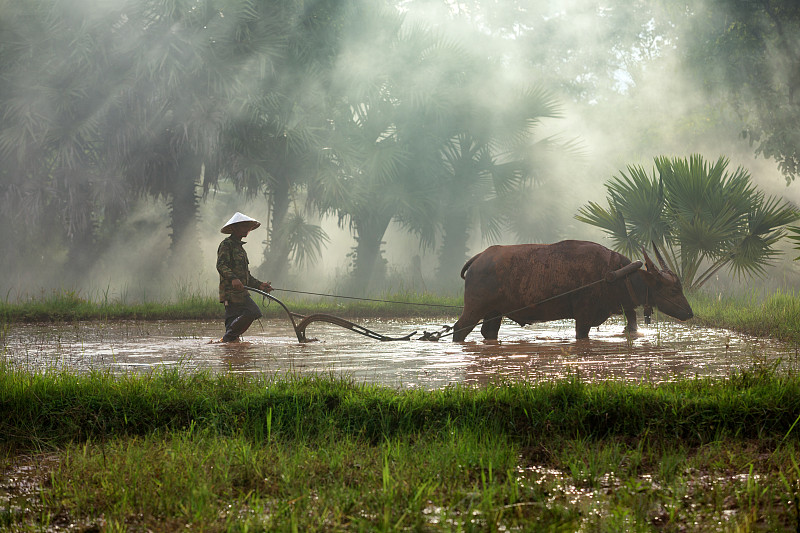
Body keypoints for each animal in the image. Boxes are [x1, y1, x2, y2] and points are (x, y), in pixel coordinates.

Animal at [456, 238, 692, 338]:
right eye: (673, 290)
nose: (689, 313)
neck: (612, 275)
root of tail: (480, 257)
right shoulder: (583, 317)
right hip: (473, 310)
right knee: (458, 330)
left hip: (494, 313)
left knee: (488, 332)